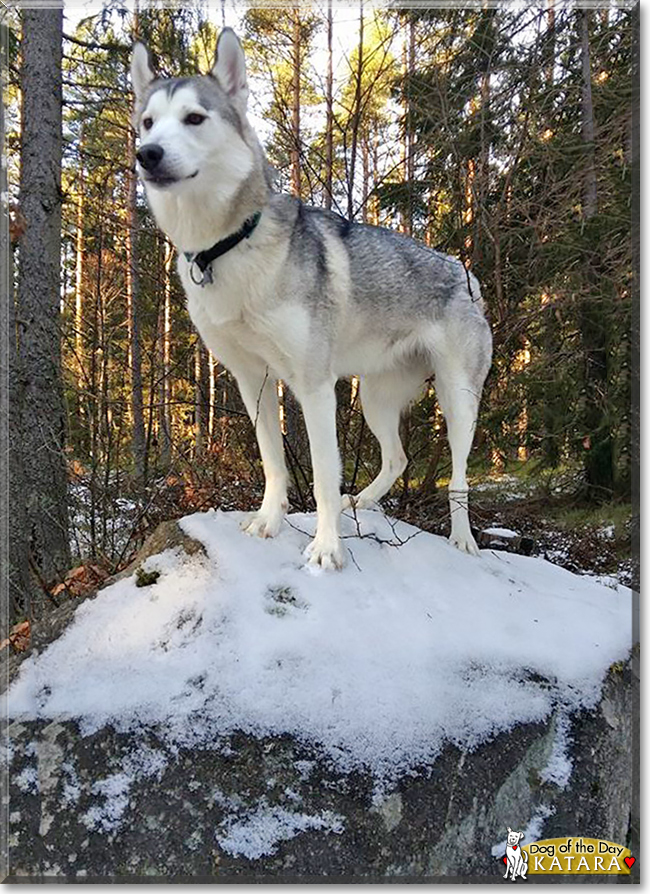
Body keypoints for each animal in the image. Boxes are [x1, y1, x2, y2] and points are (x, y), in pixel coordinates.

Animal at [129, 31, 488, 572]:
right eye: (149, 122)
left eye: (194, 118)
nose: (147, 153)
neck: (229, 244)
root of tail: (464, 273)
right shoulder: (253, 382)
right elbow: (274, 463)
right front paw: (268, 521)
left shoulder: (315, 386)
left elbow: (321, 476)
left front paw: (325, 548)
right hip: (375, 399)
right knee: (397, 458)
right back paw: (360, 501)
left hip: (458, 400)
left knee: (460, 477)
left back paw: (462, 539)